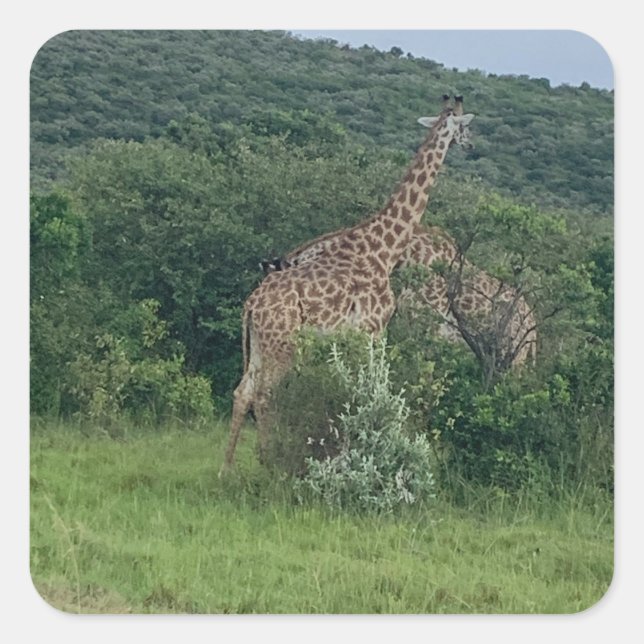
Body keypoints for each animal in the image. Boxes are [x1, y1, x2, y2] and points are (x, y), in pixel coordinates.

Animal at [220, 96, 475, 472]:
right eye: (465, 125)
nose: (471, 145)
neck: (385, 247)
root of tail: (251, 305)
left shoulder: (350, 336)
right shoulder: (373, 329)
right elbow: (370, 389)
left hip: (259, 345)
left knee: (243, 391)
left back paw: (227, 469)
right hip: (283, 346)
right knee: (264, 394)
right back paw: (267, 463)